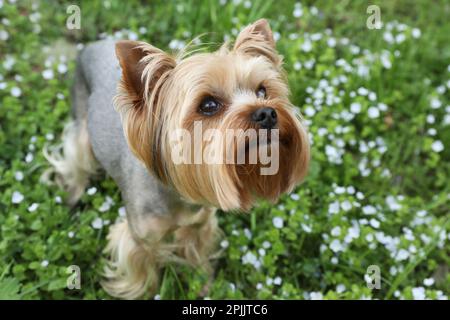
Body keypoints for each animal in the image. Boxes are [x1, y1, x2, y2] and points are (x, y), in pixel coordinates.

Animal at [44, 19, 310, 300]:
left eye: (262, 91)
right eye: (208, 105)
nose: (267, 113)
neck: (177, 193)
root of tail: (92, 44)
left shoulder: (199, 225)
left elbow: (197, 254)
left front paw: (202, 283)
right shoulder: (140, 238)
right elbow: (142, 269)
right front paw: (146, 292)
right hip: (82, 128)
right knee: (75, 160)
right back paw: (72, 197)